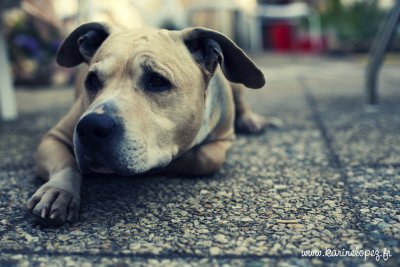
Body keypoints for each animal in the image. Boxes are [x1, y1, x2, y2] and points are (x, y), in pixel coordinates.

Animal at [26, 22, 268, 226]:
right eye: (92, 80)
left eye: (157, 81)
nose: (91, 127)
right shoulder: (55, 136)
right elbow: (67, 163)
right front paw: (59, 191)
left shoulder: (223, 139)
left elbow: (204, 159)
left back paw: (251, 120)